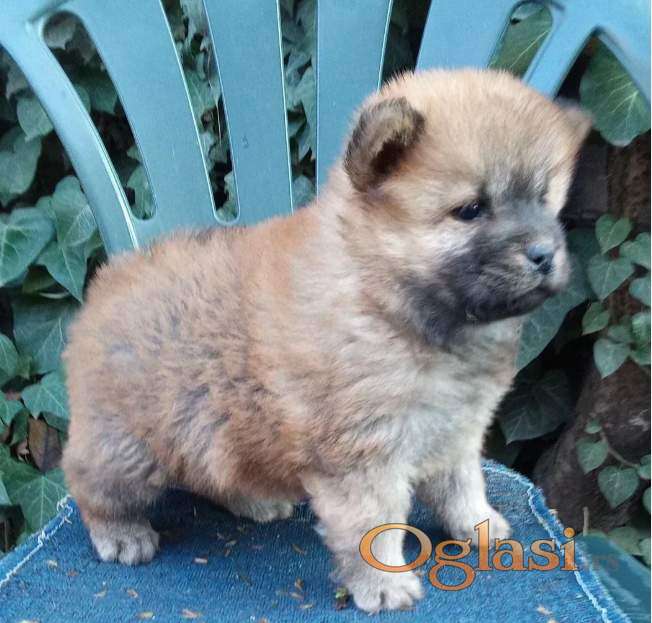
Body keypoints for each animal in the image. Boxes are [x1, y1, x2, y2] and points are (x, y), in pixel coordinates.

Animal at [62, 68, 590, 612]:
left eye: (544, 199)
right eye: (470, 210)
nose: (544, 254)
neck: (384, 298)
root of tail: (109, 281)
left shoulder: (457, 430)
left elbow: (463, 485)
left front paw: (479, 526)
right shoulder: (364, 455)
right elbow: (375, 525)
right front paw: (384, 584)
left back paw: (253, 500)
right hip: (127, 447)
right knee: (87, 482)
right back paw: (121, 534)